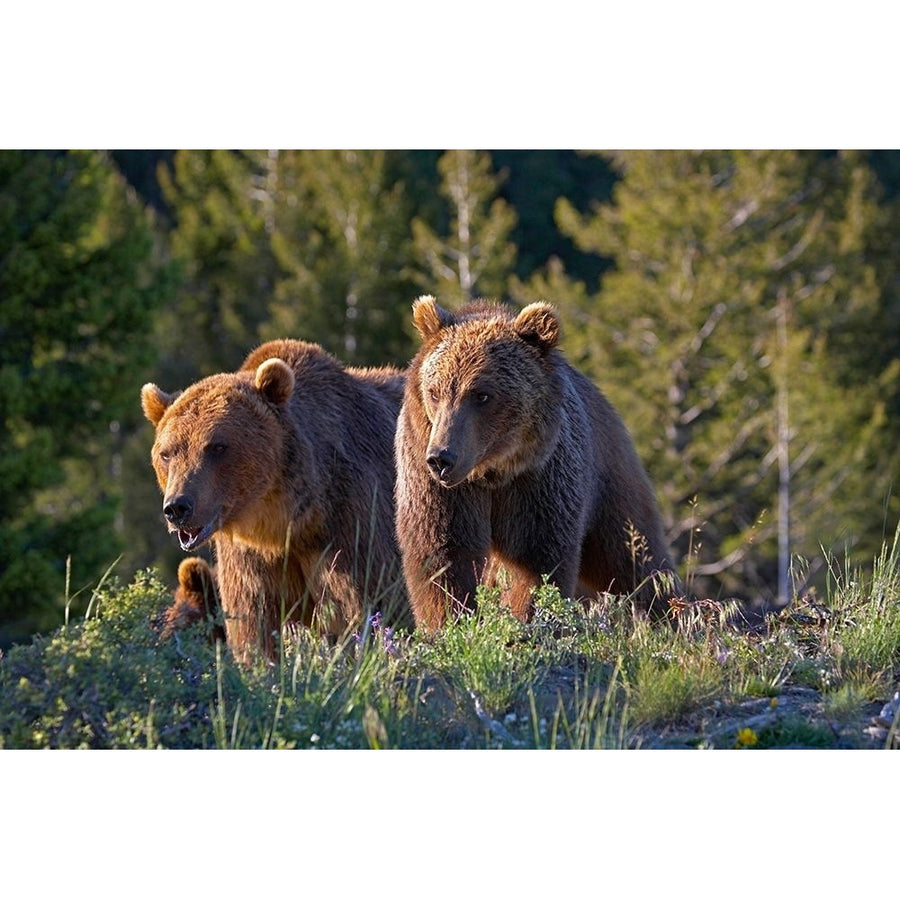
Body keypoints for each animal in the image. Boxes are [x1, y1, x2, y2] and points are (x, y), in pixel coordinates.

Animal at [142, 338, 410, 660]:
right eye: (167, 453)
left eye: (216, 446)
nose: (178, 507)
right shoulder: (249, 559)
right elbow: (253, 627)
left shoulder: (351, 524)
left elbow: (367, 605)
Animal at [392, 298, 676, 628]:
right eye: (435, 391)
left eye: (482, 395)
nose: (442, 458)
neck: (492, 470)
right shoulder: (436, 484)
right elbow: (443, 556)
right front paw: (449, 622)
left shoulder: (539, 480)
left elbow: (536, 561)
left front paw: (523, 621)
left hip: (610, 482)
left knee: (633, 559)